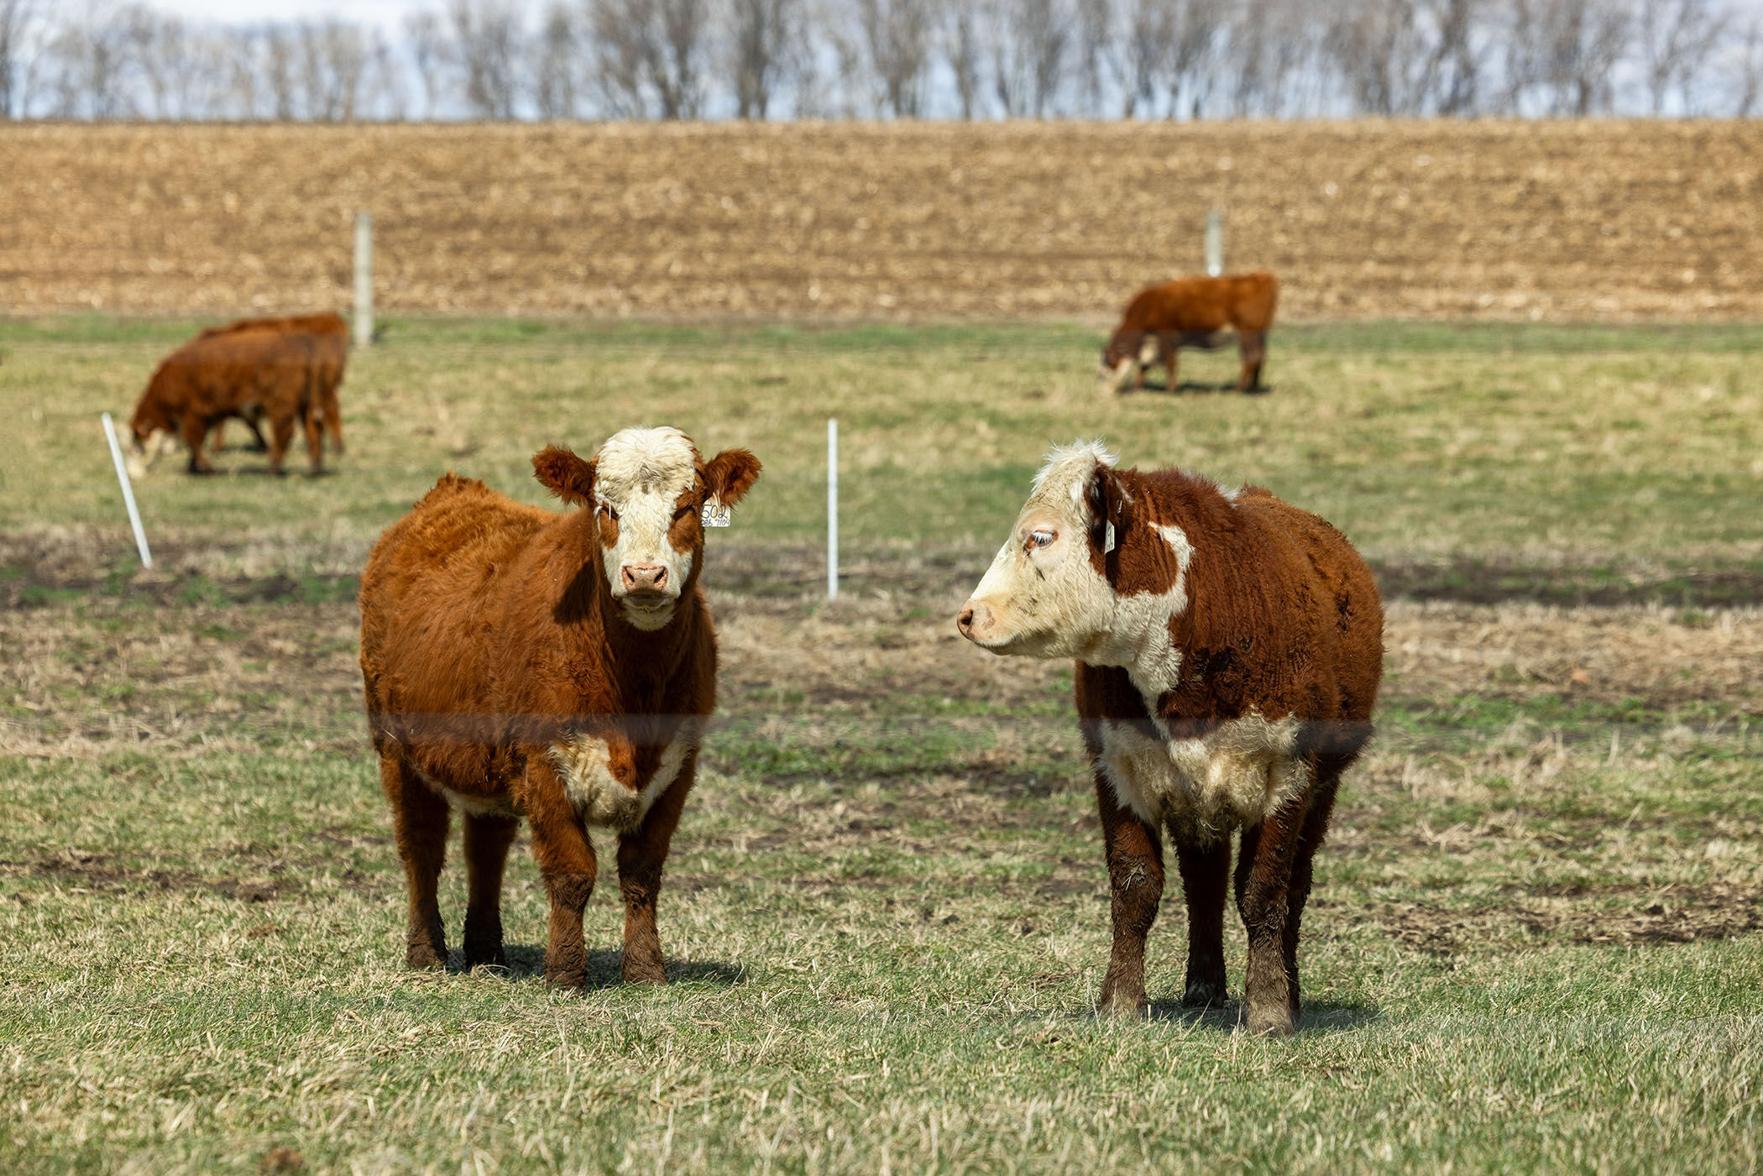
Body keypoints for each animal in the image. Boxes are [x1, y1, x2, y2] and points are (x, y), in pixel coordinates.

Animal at [127, 325, 322, 476]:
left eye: (137, 447)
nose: (134, 473)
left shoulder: (193, 413)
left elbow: (194, 441)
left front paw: (205, 469)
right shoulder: (206, 415)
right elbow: (197, 442)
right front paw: (193, 466)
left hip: (281, 406)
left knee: (284, 434)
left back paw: (273, 469)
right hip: (304, 406)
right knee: (311, 430)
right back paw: (314, 468)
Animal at [199, 313, 348, 457]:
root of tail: (330, 317)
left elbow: (230, 421)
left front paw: (217, 447)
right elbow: (247, 421)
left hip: (322, 385)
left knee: (330, 407)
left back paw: (337, 447)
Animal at [357, 427, 762, 988]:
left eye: (686, 507)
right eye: (605, 507)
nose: (644, 575)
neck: (634, 688)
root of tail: (451, 491)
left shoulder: (678, 767)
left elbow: (642, 871)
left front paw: (646, 970)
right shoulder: (544, 762)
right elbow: (573, 871)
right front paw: (566, 973)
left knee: (486, 850)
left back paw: (487, 952)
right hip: (396, 748)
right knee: (421, 846)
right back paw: (426, 953)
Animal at [956, 441, 1381, 1035]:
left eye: (1040, 537)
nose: (968, 615)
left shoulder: (1288, 775)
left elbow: (1264, 890)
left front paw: (1270, 1008)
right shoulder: (1118, 770)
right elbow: (1136, 887)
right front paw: (1120, 1003)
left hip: (1321, 789)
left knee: (1293, 884)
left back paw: (1288, 992)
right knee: (1204, 883)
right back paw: (1203, 988)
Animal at [1099, 272, 1279, 395]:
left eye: (1107, 366)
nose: (1105, 392)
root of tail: (1261, 276)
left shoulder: (1167, 337)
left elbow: (1170, 363)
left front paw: (1171, 389)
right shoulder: (1154, 343)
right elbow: (1144, 365)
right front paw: (1138, 388)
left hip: (1247, 333)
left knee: (1251, 357)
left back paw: (1239, 389)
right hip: (1259, 334)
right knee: (1260, 358)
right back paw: (1253, 388)